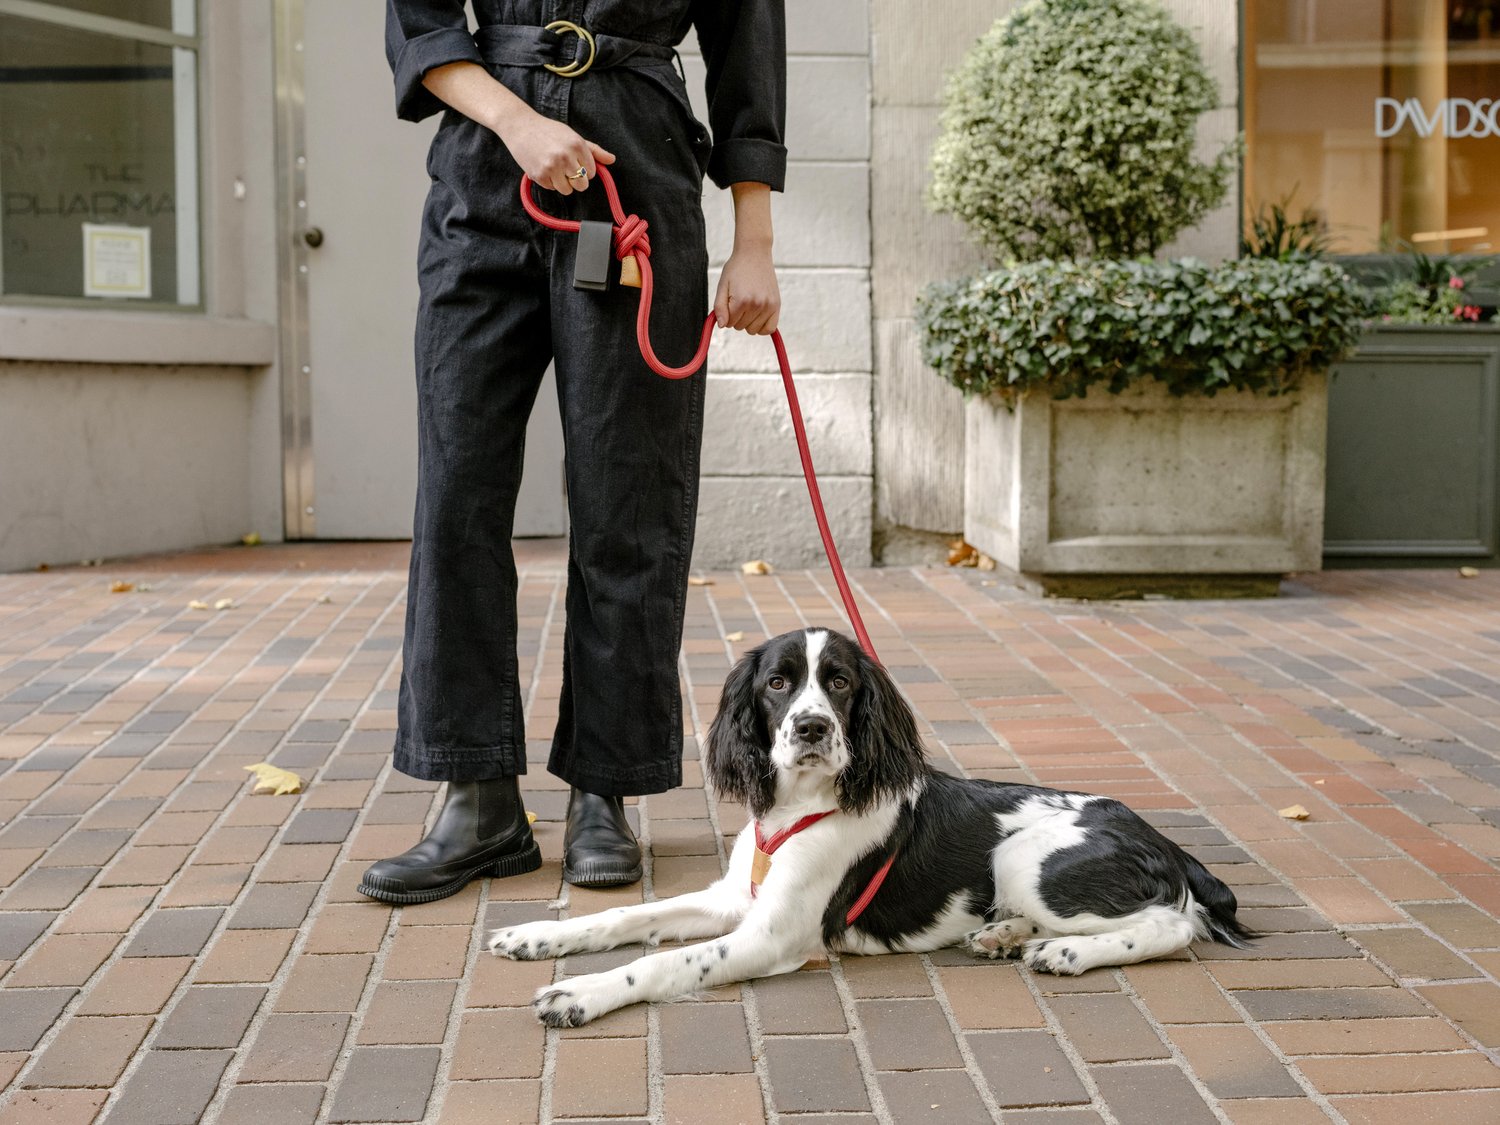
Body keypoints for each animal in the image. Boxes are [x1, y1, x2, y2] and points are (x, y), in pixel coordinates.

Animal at [486, 630, 1248, 1026]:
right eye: (777, 683)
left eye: (842, 682)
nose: (812, 728)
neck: (799, 807)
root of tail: (1159, 836)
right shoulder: (735, 899)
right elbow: (625, 916)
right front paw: (537, 935)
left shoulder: (773, 936)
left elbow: (665, 960)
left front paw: (580, 993)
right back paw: (1002, 934)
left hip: (1028, 857)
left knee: (1173, 925)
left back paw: (1065, 952)